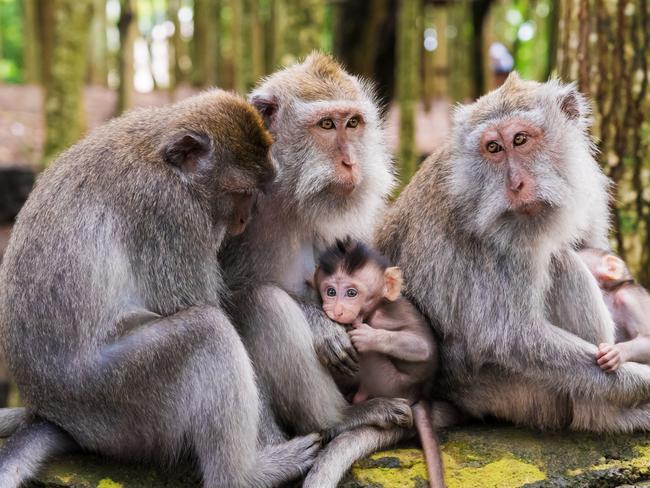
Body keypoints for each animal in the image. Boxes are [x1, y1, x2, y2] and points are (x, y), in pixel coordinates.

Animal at [310, 239, 442, 488]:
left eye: (351, 293)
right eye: (330, 291)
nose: (336, 310)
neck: (373, 309)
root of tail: (419, 395)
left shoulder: (383, 318)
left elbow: (422, 348)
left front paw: (367, 336)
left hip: (389, 382)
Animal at [372, 71, 648, 430]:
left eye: (519, 140)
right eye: (493, 147)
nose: (515, 184)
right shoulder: (497, 242)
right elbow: (514, 338)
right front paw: (641, 379)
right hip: (515, 392)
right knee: (561, 262)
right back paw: (607, 413)